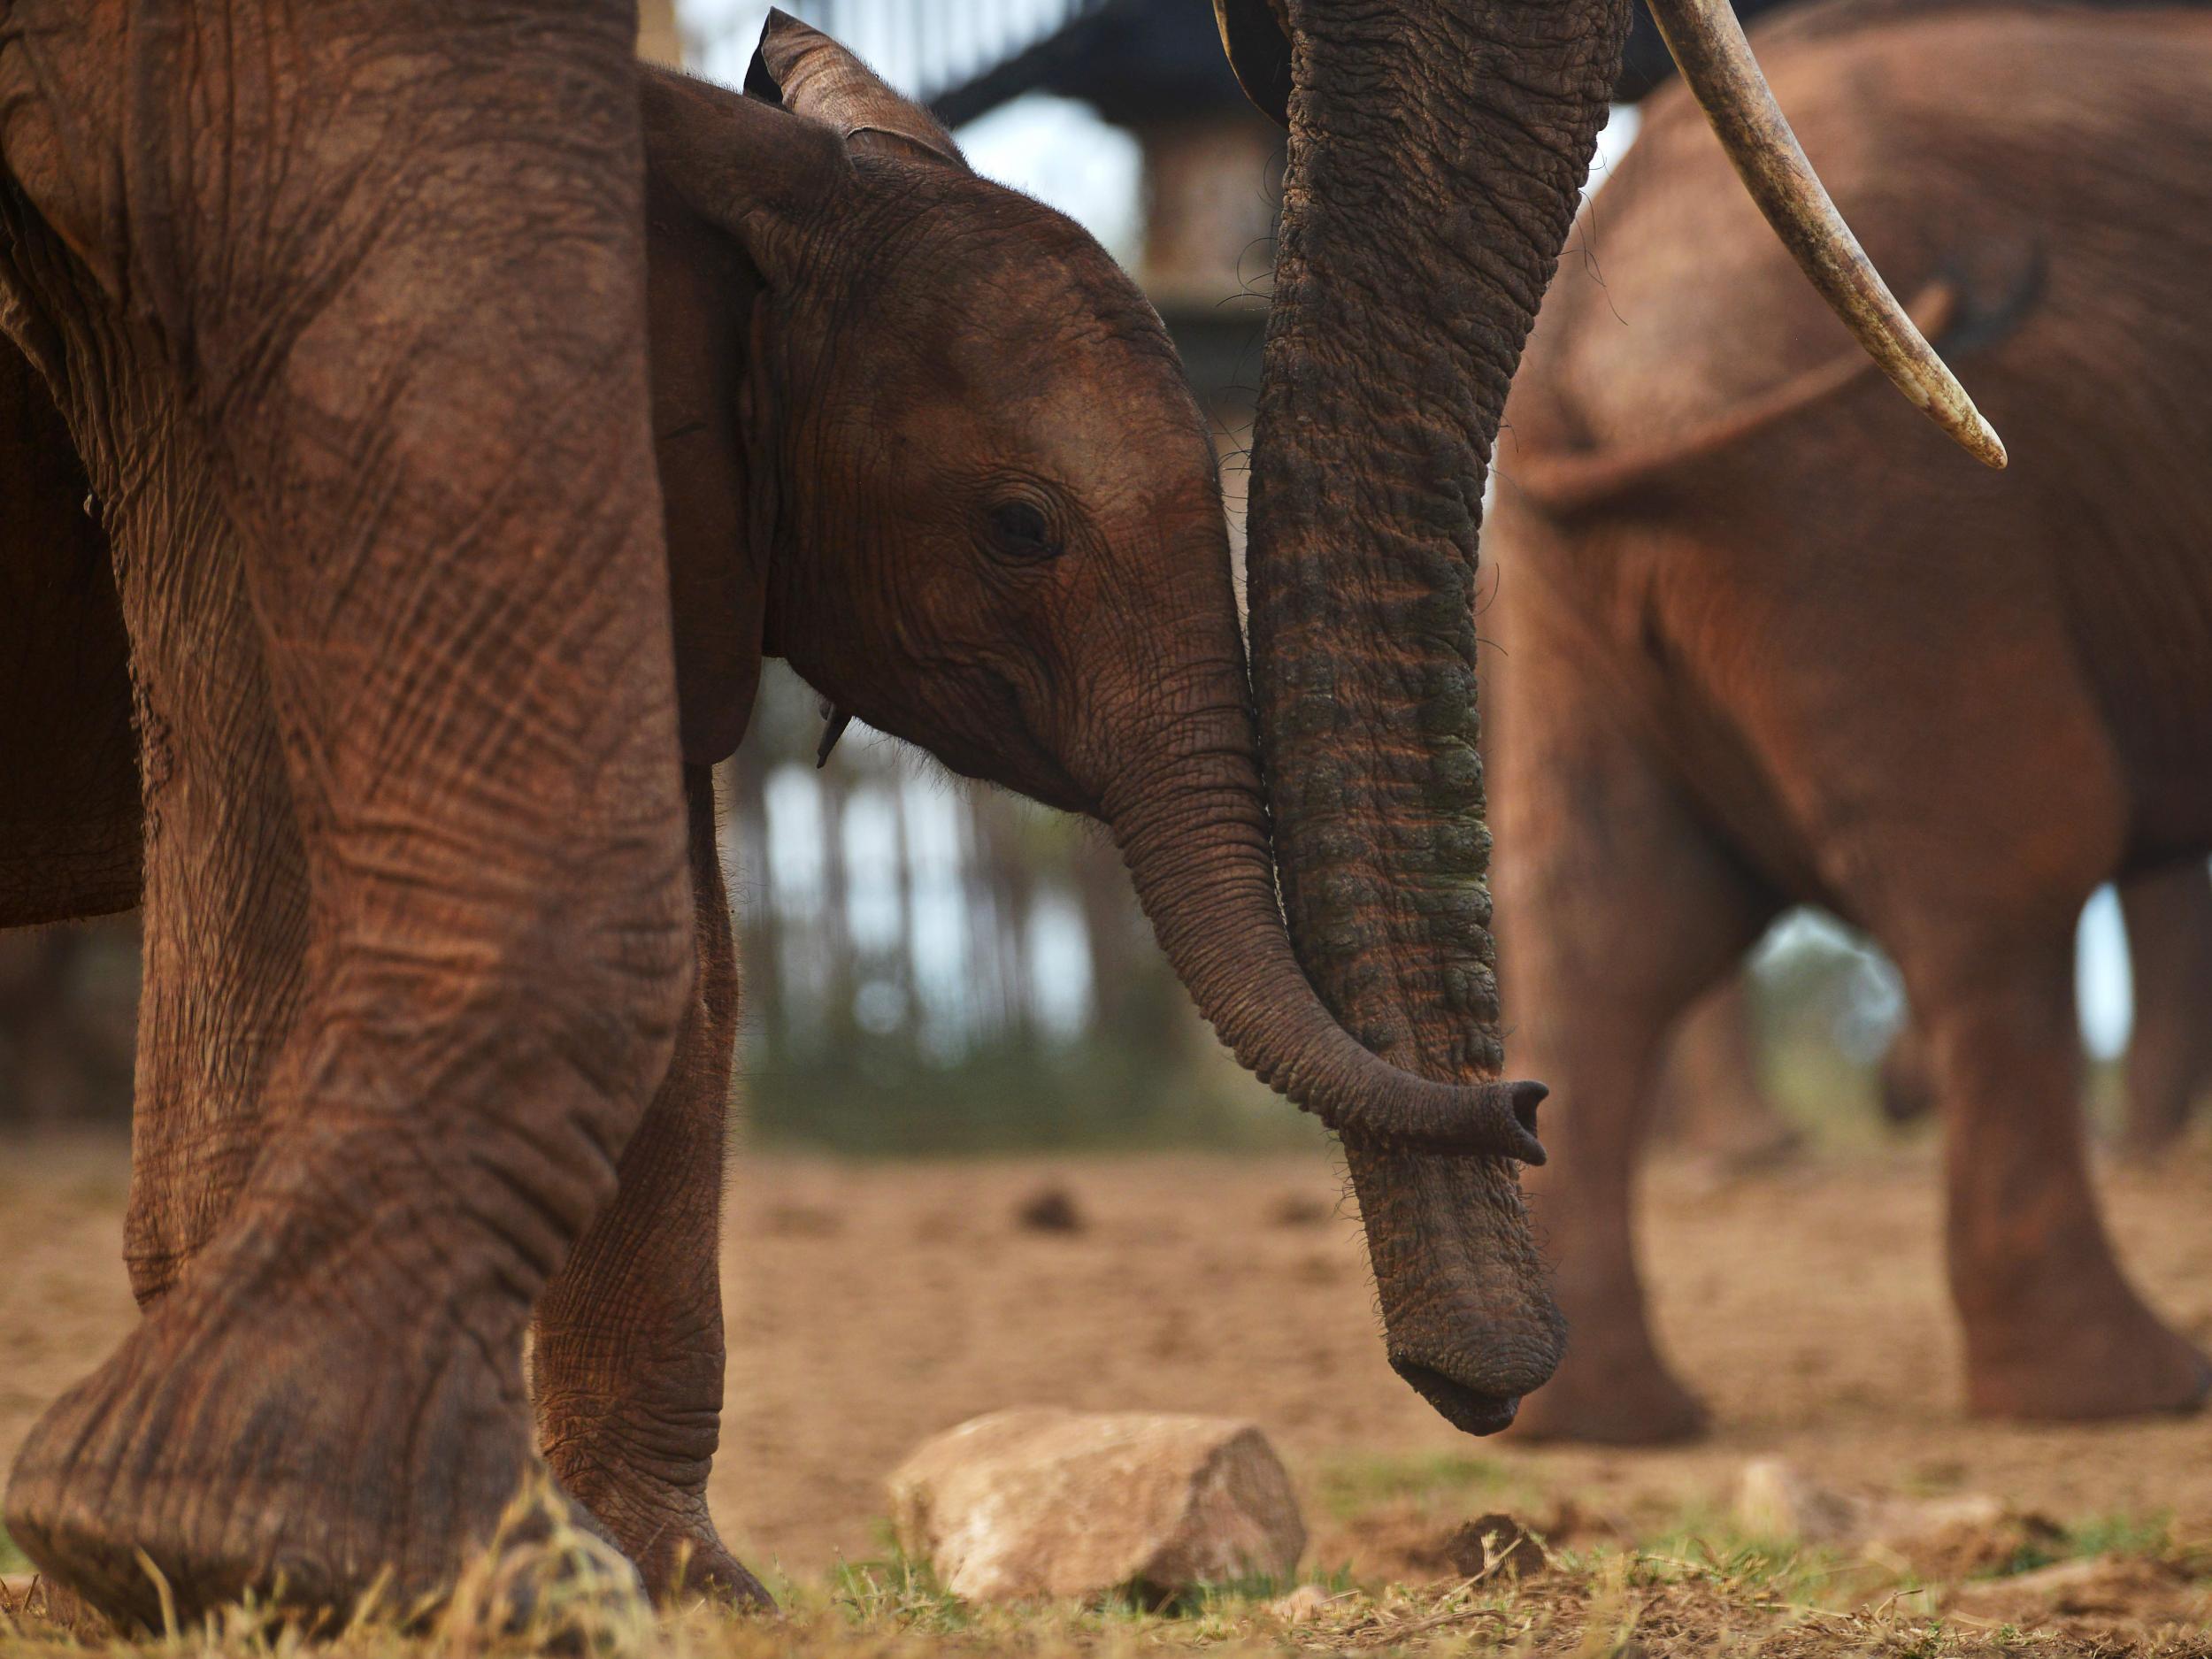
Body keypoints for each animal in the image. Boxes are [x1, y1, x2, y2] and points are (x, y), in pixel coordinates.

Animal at [1478, 0, 2212, 1442]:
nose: (1886, 1092)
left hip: (1588, 564)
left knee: (1613, 911)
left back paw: (1603, 1418)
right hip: (1877, 519)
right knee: (2011, 867)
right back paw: (2126, 1392)